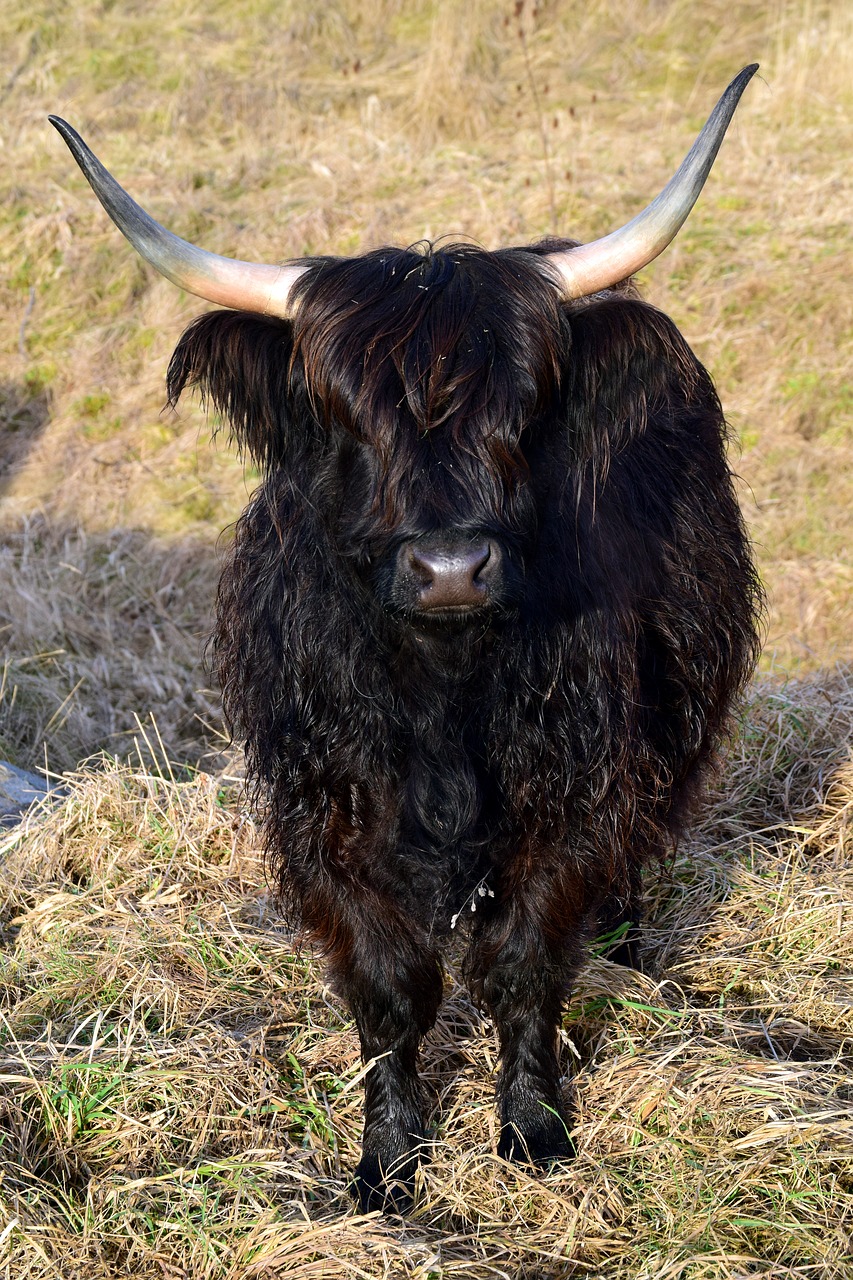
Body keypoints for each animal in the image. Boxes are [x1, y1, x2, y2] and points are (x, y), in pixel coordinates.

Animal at [51, 67, 758, 1208]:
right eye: (347, 412)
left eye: (526, 404)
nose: (451, 567)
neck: (442, 686)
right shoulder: (326, 805)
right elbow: (388, 984)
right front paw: (387, 1159)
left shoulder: (573, 783)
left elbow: (524, 958)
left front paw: (533, 1125)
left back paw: (630, 946)